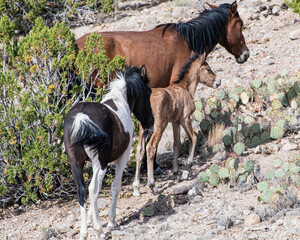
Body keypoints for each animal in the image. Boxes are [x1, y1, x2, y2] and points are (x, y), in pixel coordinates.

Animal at [62, 65, 152, 240]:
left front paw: (91, 220)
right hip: (100, 163)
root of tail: (81, 117)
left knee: (82, 191)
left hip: (76, 164)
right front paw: (111, 221)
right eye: (149, 92)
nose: (151, 122)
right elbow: (115, 187)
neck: (120, 103)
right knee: (93, 190)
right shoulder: (122, 157)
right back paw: (100, 230)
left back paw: (84, 232)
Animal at [132, 54, 219, 195]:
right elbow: (193, 138)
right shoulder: (185, 119)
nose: (218, 81)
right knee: (150, 148)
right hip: (159, 126)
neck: (185, 88)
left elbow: (176, 144)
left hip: (143, 128)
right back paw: (152, 185)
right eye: (208, 69)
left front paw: (176, 172)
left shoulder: (175, 122)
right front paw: (188, 165)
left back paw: (136, 187)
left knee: (139, 149)